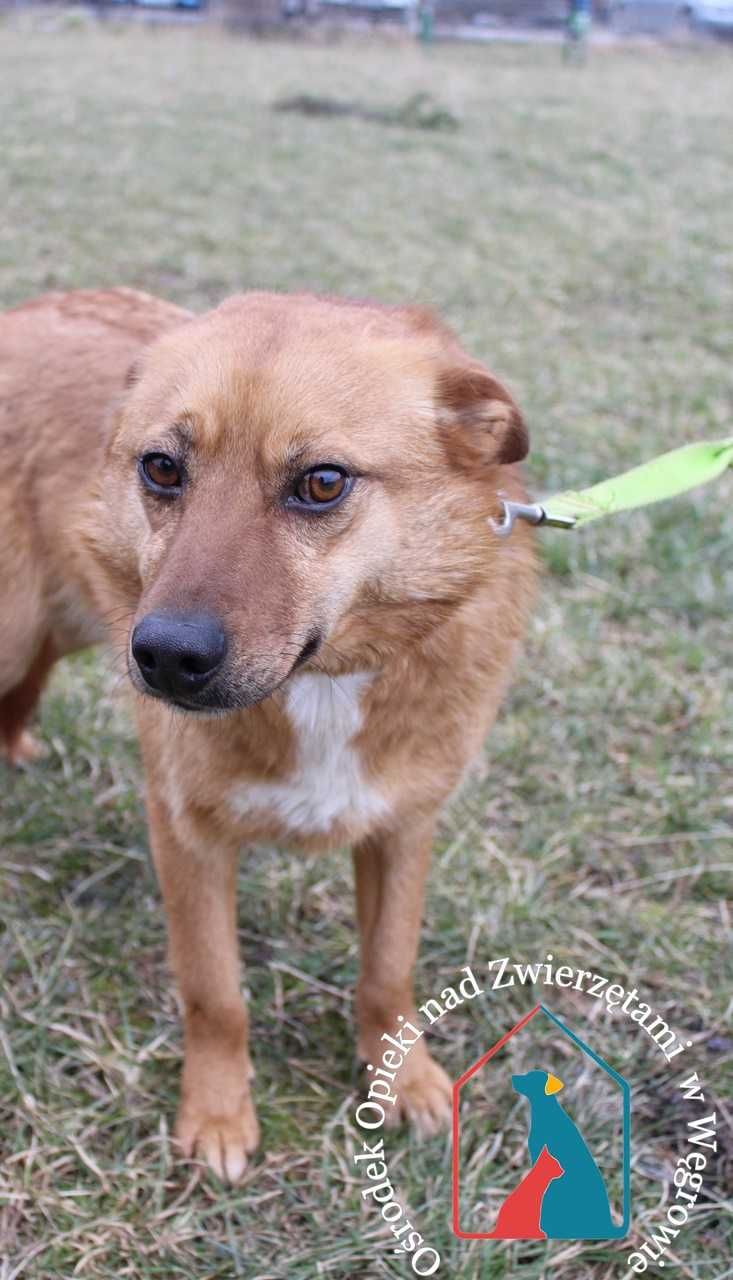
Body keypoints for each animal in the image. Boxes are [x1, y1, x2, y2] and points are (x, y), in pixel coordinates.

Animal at [1, 288, 537, 1177]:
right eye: (161, 468)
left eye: (321, 482)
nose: (165, 657)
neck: (321, 683)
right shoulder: (186, 836)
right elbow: (215, 993)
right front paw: (219, 1115)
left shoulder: (402, 826)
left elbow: (388, 971)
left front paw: (404, 1079)